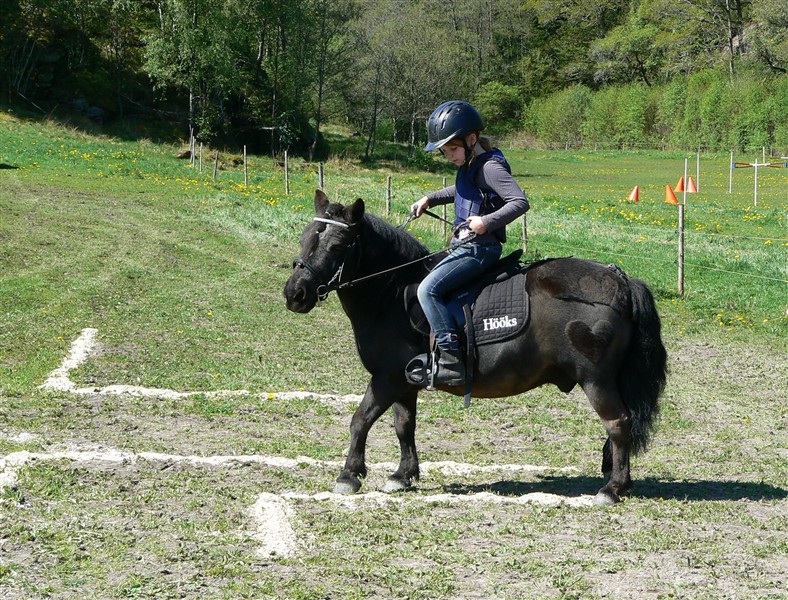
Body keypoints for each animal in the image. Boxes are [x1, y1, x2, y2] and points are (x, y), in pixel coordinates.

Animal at [284, 190, 664, 504]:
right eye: (304, 239)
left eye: (336, 246)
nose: (294, 293)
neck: (392, 294)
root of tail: (621, 280)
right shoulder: (405, 381)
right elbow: (404, 426)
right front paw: (403, 475)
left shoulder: (387, 378)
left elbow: (360, 420)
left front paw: (349, 474)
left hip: (597, 381)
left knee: (618, 423)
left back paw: (611, 489)